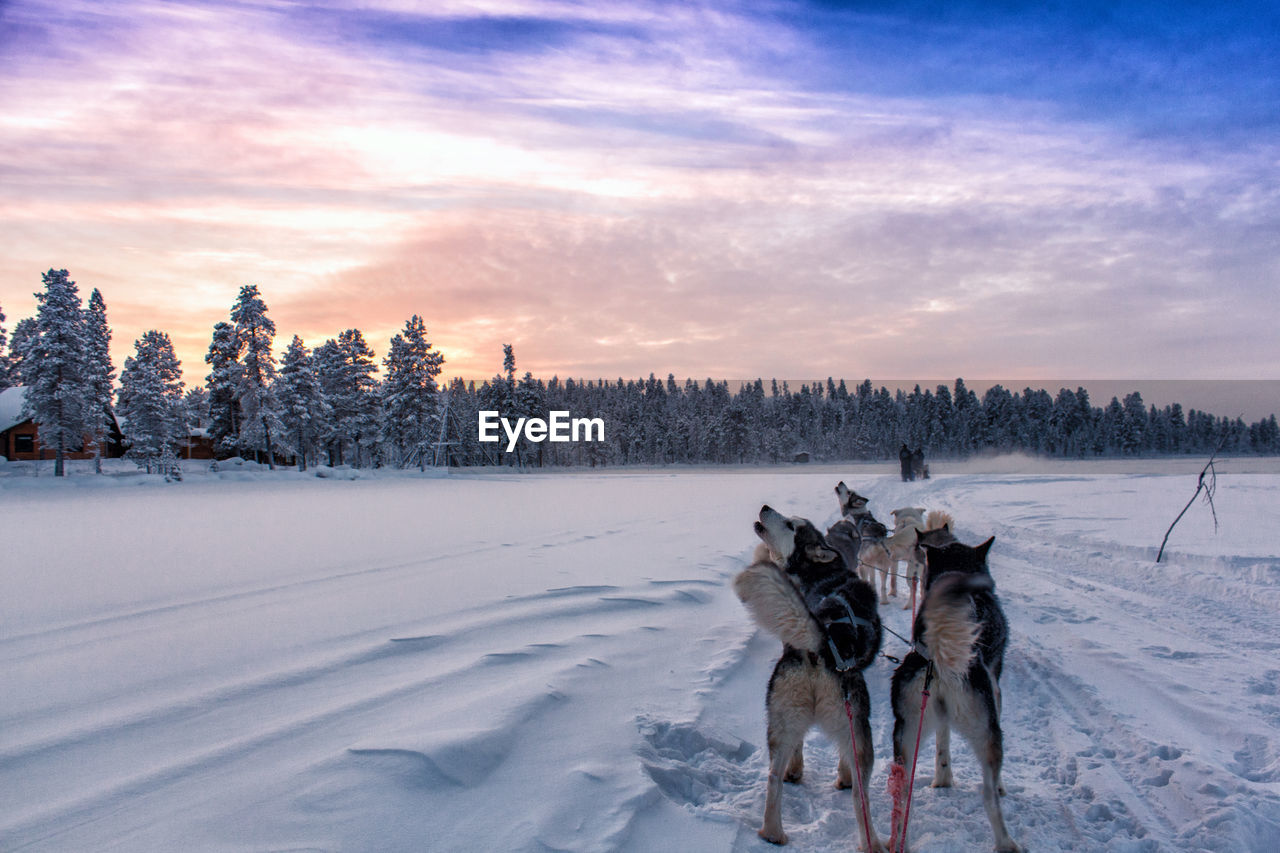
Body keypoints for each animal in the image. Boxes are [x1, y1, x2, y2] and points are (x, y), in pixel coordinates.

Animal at [737, 502, 885, 845]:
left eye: (791, 525)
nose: (765, 506)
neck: (823, 576)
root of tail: (821, 641)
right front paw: (842, 776)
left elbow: (799, 745)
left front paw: (796, 769)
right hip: (859, 726)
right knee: (860, 795)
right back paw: (873, 842)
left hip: (782, 716)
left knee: (773, 777)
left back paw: (773, 832)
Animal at [890, 535, 1018, 845]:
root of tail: (937, 654)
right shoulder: (996, 692)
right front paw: (1002, 785)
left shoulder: (939, 718)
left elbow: (942, 745)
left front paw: (943, 780)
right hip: (988, 735)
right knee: (989, 798)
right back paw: (1008, 844)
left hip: (905, 735)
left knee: (900, 799)